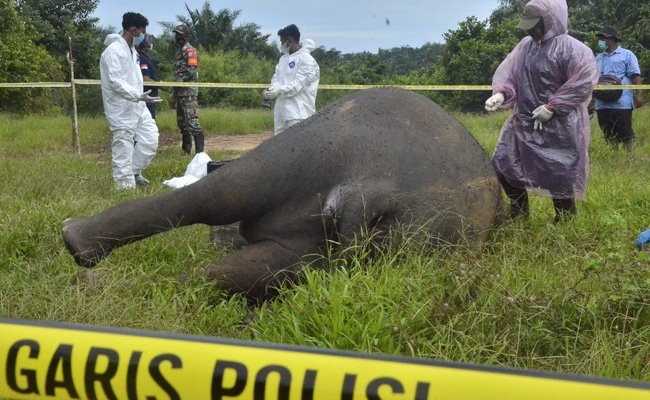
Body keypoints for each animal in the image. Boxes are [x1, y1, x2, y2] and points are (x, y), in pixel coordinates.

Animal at [62, 87, 501, 300]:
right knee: (227, 197)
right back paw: (80, 252)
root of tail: (374, 188)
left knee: (232, 240)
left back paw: (86, 266)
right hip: (323, 147)